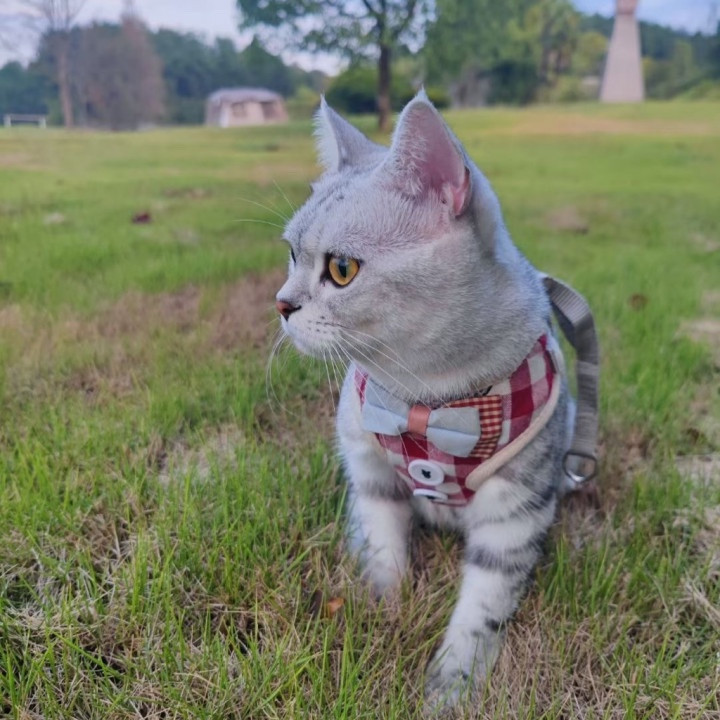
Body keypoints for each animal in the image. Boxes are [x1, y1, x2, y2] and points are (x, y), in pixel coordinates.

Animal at [275, 91, 576, 707]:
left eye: (341, 269)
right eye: (291, 254)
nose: (281, 303)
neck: (426, 397)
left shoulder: (514, 512)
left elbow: (482, 610)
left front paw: (451, 685)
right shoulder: (368, 470)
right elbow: (382, 547)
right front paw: (380, 608)